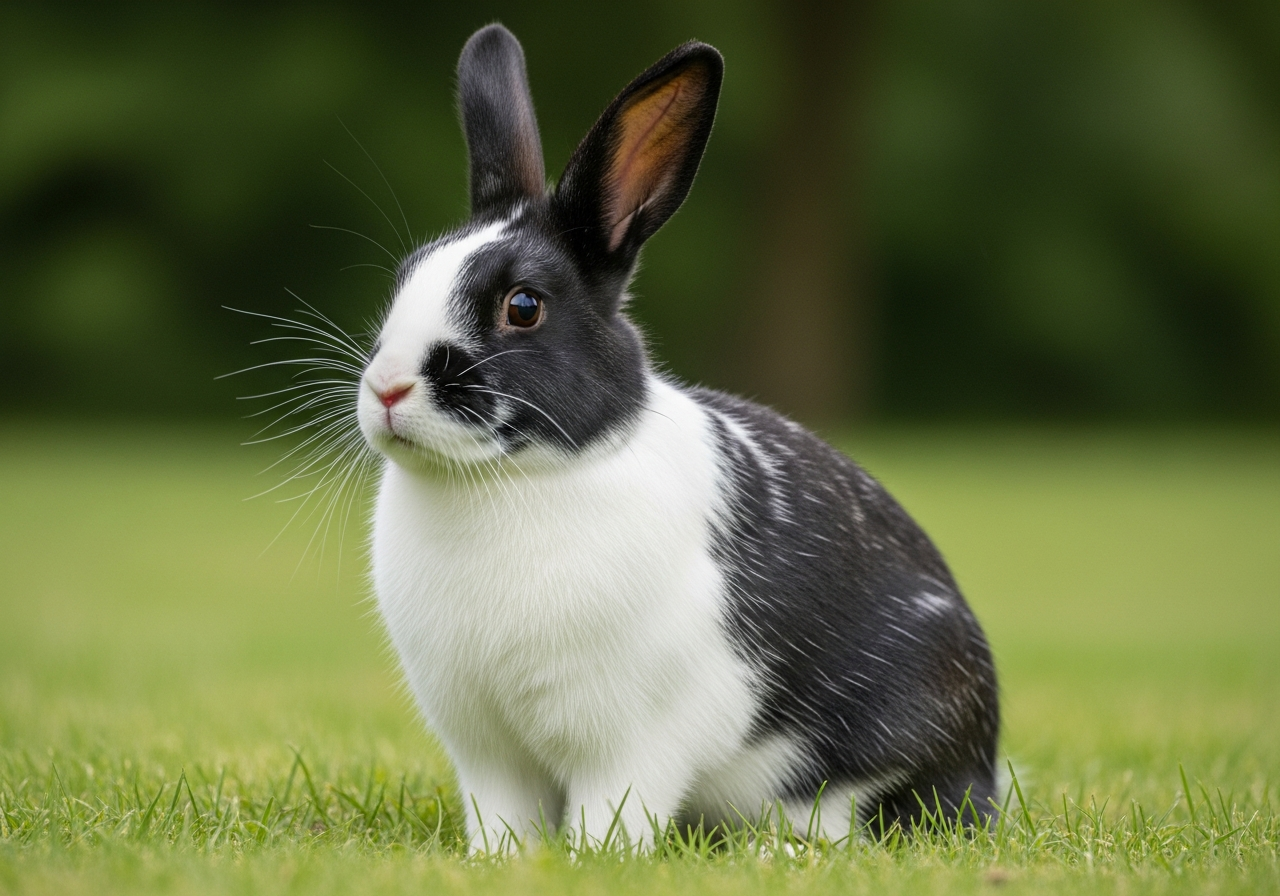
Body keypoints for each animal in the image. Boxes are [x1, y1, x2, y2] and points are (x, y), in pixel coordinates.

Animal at [355, 23, 998, 852]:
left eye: (522, 306)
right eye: (406, 276)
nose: (386, 389)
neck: (517, 478)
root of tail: (985, 767)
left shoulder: (633, 739)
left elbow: (614, 808)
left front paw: (594, 858)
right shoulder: (487, 751)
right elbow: (502, 816)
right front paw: (502, 860)